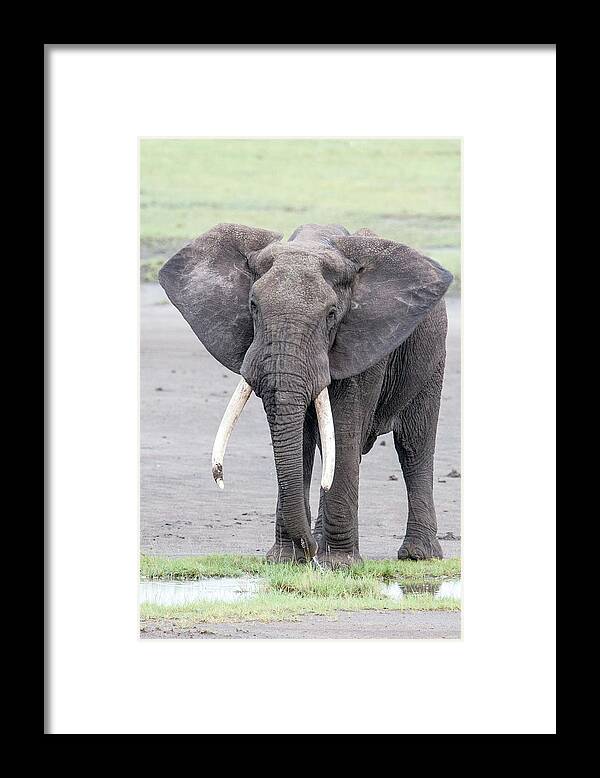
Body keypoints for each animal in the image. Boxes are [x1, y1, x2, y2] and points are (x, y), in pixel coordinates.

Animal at [159, 221, 454, 568]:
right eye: (253, 306)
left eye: (331, 314)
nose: (309, 549)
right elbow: (299, 440)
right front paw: (287, 559)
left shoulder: (362, 345)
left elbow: (344, 432)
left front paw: (338, 565)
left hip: (432, 358)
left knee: (413, 444)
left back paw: (417, 555)